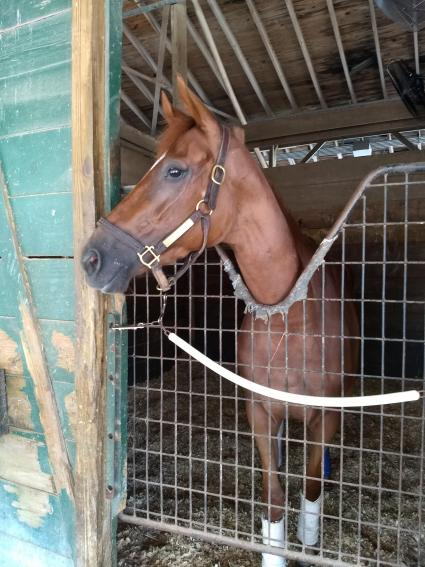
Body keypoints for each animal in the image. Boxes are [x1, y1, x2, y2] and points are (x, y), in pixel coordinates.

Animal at [82, 77, 358, 564]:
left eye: (174, 171)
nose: (92, 258)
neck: (289, 317)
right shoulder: (260, 411)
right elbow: (273, 493)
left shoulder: (324, 414)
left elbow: (309, 486)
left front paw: (308, 539)